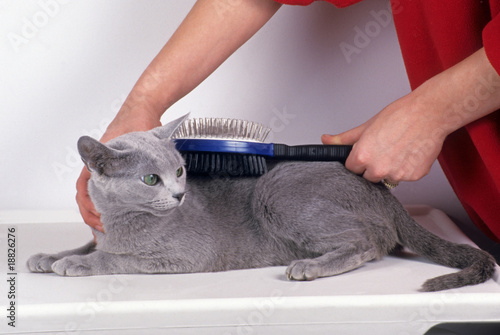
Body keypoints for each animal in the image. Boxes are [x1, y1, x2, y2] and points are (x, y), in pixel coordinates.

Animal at [28, 115, 496, 292]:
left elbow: (115, 258)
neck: (118, 220)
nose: (180, 195)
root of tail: (380, 189)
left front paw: (75, 264)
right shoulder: (101, 229)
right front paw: (48, 256)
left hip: (277, 189)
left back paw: (309, 267)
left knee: (368, 243)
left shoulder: (182, 257)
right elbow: (91, 243)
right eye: (150, 179)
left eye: (179, 170)